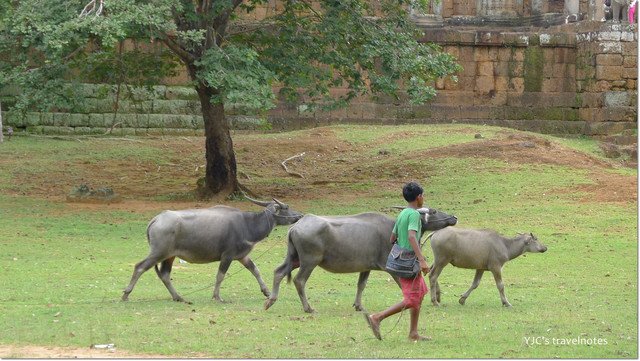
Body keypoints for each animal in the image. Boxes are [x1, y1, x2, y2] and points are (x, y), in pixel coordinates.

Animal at [122, 195, 302, 302]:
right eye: (286, 207)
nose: (299, 215)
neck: (247, 224)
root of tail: (156, 219)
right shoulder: (227, 255)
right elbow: (220, 275)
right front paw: (217, 296)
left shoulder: (242, 256)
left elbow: (255, 270)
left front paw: (266, 291)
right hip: (158, 252)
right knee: (139, 267)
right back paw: (126, 294)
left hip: (169, 256)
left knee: (165, 274)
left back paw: (178, 297)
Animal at [262, 208, 458, 312]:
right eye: (434, 211)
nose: (454, 217)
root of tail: (296, 226)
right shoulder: (391, 267)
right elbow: (404, 284)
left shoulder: (366, 267)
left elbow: (361, 285)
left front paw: (358, 306)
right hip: (310, 261)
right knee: (299, 280)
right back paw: (308, 307)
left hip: (294, 258)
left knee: (278, 272)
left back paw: (271, 300)